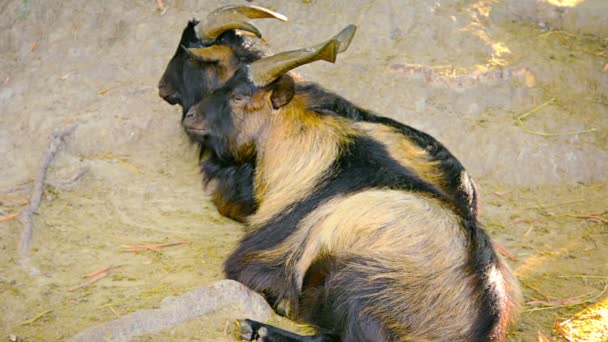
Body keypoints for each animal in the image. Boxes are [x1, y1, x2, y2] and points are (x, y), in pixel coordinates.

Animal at [183, 30, 520, 342]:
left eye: (239, 96)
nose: (191, 116)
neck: (319, 161)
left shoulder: (267, 258)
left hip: (359, 286)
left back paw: (256, 328)